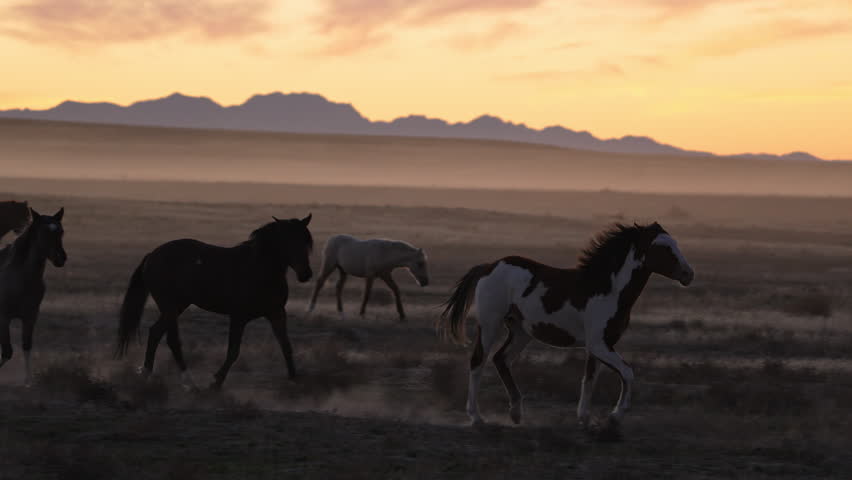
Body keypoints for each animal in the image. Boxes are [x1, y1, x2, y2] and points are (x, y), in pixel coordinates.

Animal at [0, 207, 67, 386]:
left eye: (61, 232)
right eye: (43, 232)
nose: (61, 259)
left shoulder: (30, 317)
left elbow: (26, 346)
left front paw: (28, 381)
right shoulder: (4, 318)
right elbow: (7, 352)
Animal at [116, 214, 314, 390]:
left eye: (306, 243)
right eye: (288, 241)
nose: (306, 274)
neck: (259, 269)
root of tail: (152, 255)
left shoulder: (276, 313)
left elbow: (286, 346)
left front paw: (295, 381)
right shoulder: (239, 317)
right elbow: (233, 352)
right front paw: (216, 382)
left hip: (176, 307)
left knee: (158, 334)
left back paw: (156, 376)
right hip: (170, 307)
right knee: (168, 338)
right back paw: (185, 381)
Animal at [438, 222, 693, 427]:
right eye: (664, 248)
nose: (689, 274)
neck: (607, 290)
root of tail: (489, 266)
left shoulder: (600, 345)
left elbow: (589, 379)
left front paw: (585, 419)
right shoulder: (599, 344)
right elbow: (627, 374)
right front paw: (614, 417)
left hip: (521, 331)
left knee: (501, 359)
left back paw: (516, 414)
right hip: (490, 324)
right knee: (478, 362)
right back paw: (477, 417)